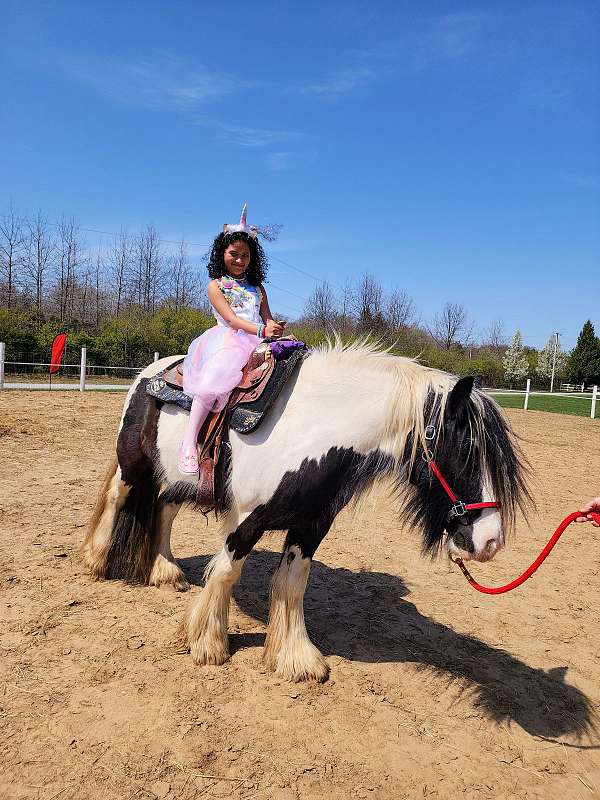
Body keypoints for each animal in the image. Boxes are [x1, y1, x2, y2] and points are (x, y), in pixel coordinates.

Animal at [81, 340, 528, 684]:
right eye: (465, 452)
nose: (491, 541)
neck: (307, 429)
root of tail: (150, 373)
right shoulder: (246, 520)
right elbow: (225, 572)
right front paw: (207, 643)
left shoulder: (311, 526)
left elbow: (293, 584)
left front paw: (294, 658)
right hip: (133, 464)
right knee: (117, 498)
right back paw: (97, 560)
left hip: (176, 478)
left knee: (165, 511)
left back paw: (165, 571)